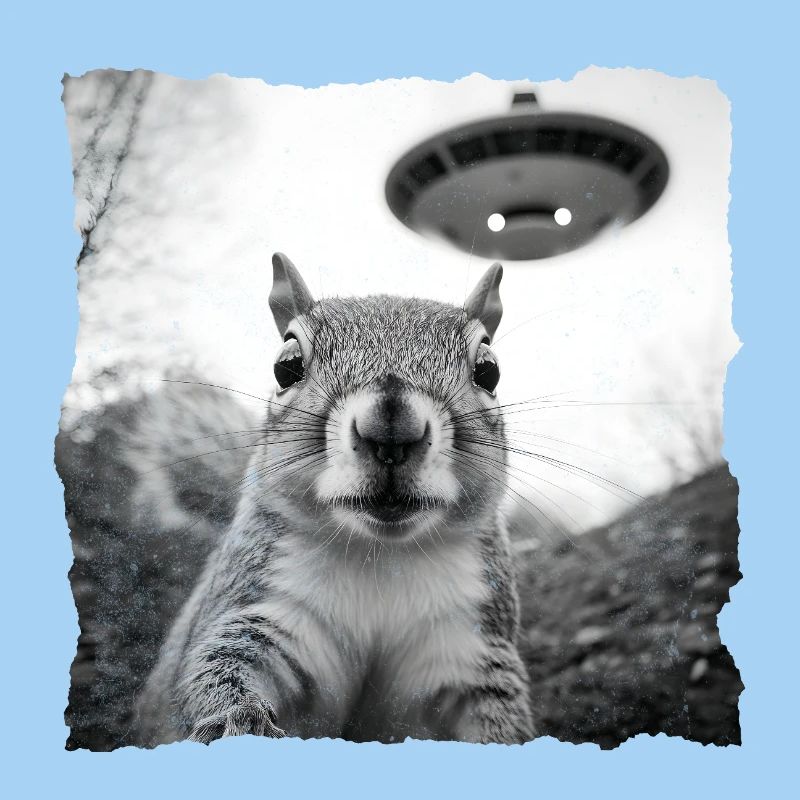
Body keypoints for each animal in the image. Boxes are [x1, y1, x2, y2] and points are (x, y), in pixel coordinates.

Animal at [135, 252, 535, 746]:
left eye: (489, 370)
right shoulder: (265, 609)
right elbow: (219, 666)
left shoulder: (469, 647)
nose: (392, 428)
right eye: (286, 366)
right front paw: (238, 722)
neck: (382, 556)